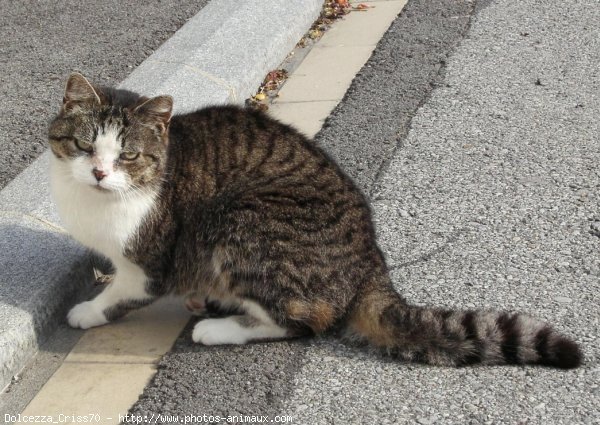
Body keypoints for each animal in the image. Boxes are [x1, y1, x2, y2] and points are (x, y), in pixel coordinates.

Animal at [49, 71, 584, 366]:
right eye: (83, 145)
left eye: (128, 155)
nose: (99, 172)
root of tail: (371, 262)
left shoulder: (150, 261)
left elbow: (123, 291)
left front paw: (88, 310)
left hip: (242, 219)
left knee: (302, 321)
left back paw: (221, 327)